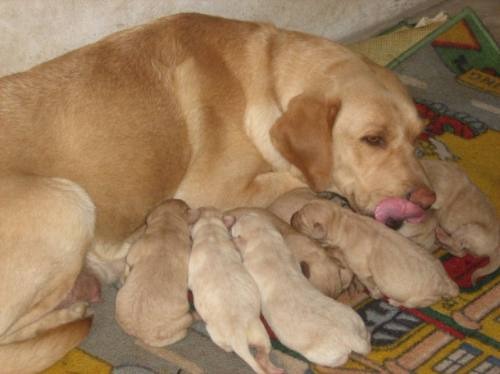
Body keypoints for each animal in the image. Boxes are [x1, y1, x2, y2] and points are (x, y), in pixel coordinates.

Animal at [188, 207, 282, 374]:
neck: (211, 233)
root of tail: (238, 337)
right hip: (261, 333)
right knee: (262, 356)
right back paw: (276, 369)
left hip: (215, 332)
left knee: (227, 348)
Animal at [232, 213, 370, 368]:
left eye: (239, 221)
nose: (241, 214)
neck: (266, 241)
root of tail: (351, 338)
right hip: (357, 322)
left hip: (325, 356)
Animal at [292, 200, 458, 308]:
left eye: (300, 220)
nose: (292, 215)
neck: (342, 221)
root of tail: (447, 284)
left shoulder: (362, 272)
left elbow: (370, 284)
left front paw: (374, 294)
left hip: (420, 298)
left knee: (410, 304)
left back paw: (394, 302)